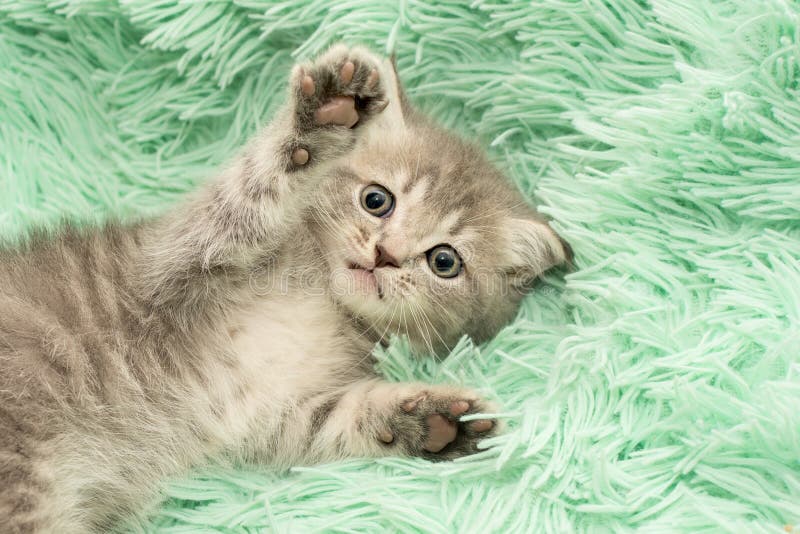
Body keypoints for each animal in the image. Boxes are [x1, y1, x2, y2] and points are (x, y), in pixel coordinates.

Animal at [0, 45, 568, 532]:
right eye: (376, 200)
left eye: (444, 261)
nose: (385, 255)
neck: (321, 301)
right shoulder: (171, 260)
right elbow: (247, 192)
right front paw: (324, 115)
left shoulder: (274, 412)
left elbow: (338, 421)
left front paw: (431, 421)